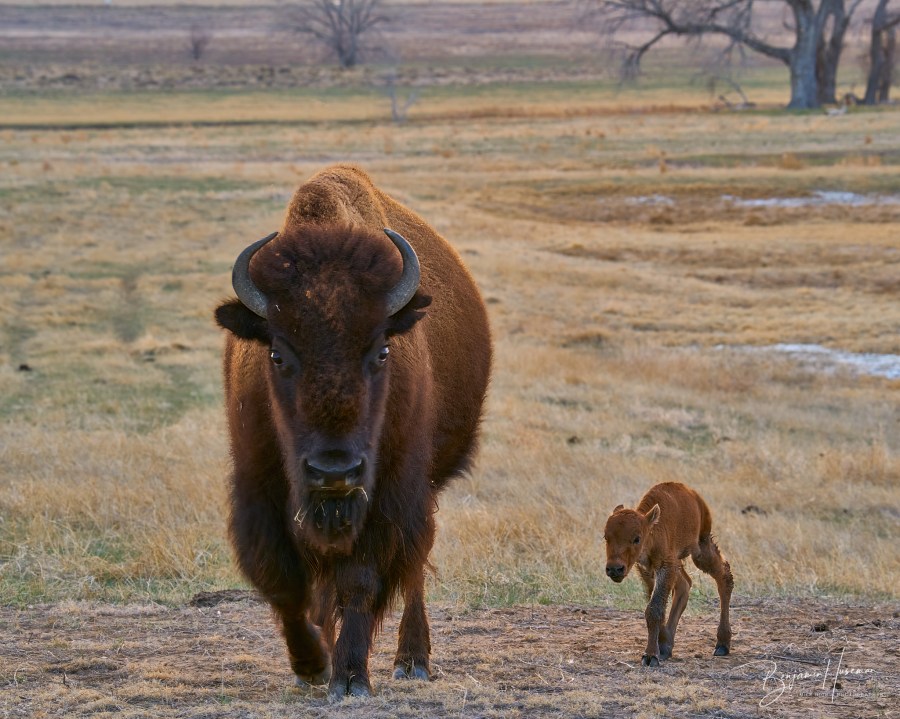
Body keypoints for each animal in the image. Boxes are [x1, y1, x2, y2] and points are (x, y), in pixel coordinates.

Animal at [213, 166, 492, 700]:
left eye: (382, 350)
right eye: (276, 353)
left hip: (424, 486)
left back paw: (412, 660)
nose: (333, 469)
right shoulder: (259, 488)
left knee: (414, 563)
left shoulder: (389, 492)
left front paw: (349, 677)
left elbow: (361, 580)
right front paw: (311, 665)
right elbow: (283, 580)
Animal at [604, 480, 732, 668]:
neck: (652, 530)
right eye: (606, 537)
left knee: (724, 576)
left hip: (701, 549)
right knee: (685, 585)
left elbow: (654, 609)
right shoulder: (648, 570)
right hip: (679, 561)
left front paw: (651, 656)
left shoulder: (665, 567)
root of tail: (694, 496)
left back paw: (722, 644)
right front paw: (662, 646)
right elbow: (656, 605)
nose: (614, 569)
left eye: (636, 538)